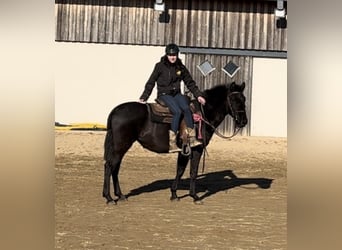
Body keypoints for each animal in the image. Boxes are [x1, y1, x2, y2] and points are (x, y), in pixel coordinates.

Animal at [103, 81, 247, 204]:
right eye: (234, 100)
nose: (243, 121)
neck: (203, 114)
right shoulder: (196, 148)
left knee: (115, 167)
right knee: (110, 166)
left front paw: (177, 194)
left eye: (244, 99)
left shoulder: (186, 150)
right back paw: (109, 198)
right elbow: (190, 171)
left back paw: (120, 195)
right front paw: (193, 196)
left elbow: (182, 170)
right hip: (121, 146)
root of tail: (115, 111)